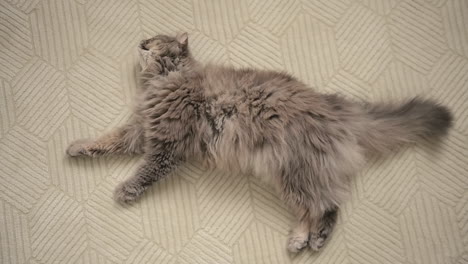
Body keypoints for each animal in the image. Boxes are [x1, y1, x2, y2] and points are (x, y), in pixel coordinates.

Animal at [64, 32, 452, 253]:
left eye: (154, 42)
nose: (140, 44)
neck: (164, 80)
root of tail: (333, 106)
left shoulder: (166, 145)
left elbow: (145, 171)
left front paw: (126, 190)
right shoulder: (140, 131)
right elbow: (107, 139)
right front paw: (78, 147)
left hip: (292, 172)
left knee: (325, 205)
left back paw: (308, 240)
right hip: (292, 175)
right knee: (321, 204)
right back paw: (304, 239)